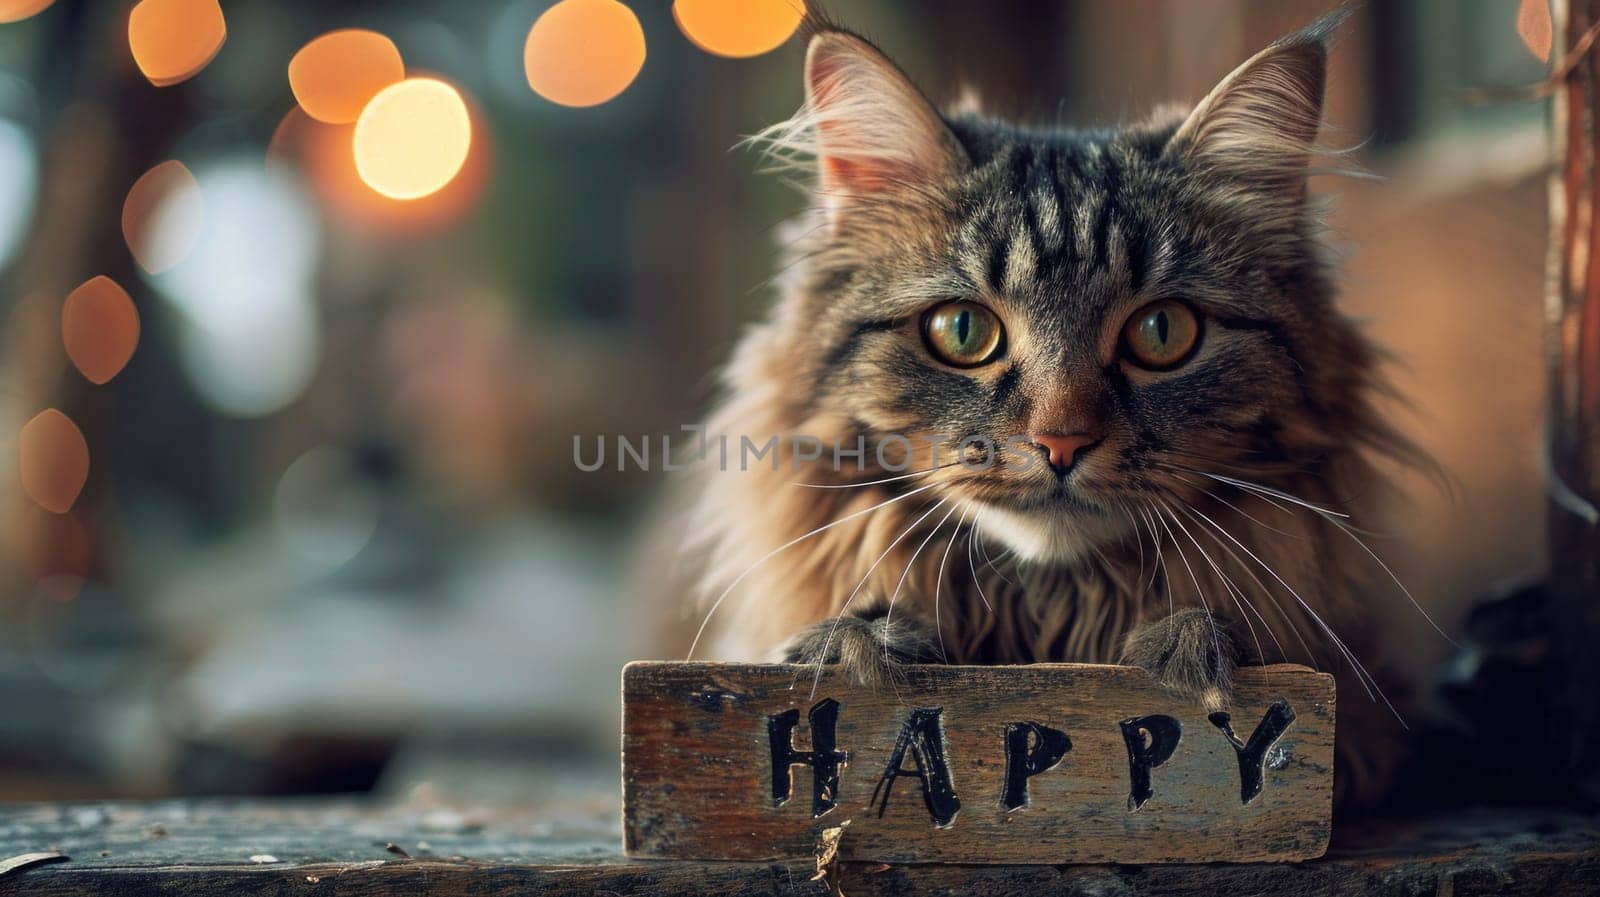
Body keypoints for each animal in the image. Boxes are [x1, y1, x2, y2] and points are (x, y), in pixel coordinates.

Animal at [675, 10, 1427, 812]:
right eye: (962, 331)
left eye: (1163, 332)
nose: (1061, 442)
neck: (1050, 621)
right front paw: (857, 647)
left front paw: (1190, 647)